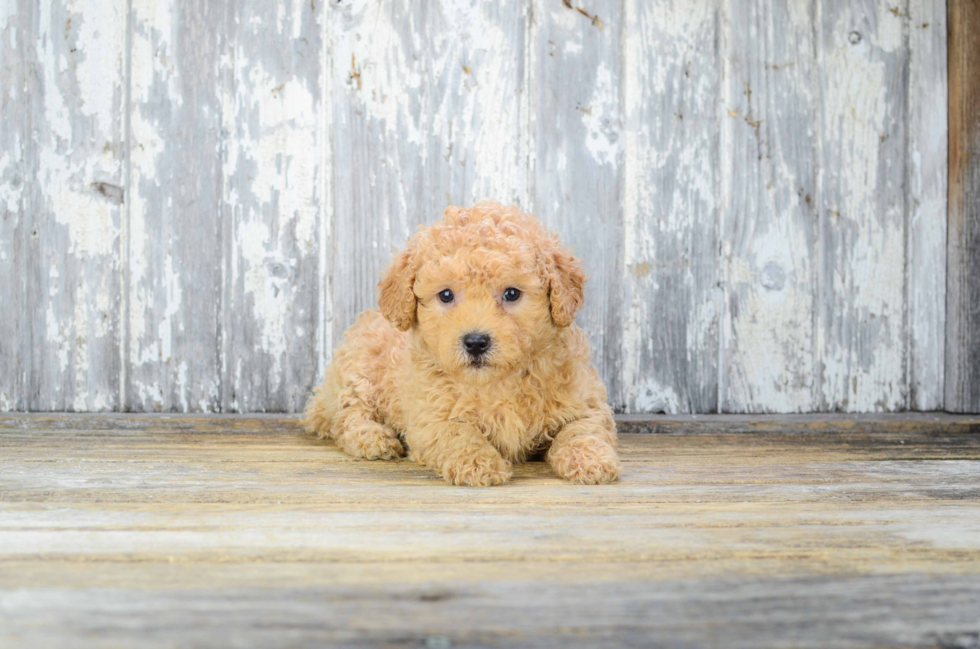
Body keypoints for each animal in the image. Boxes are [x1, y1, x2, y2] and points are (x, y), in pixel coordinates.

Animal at [300, 202, 620, 486]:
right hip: (358, 373)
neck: (496, 382)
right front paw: (479, 464)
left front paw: (592, 460)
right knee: (347, 416)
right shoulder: (430, 416)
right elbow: (458, 434)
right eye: (446, 295)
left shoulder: (586, 401)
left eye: (512, 293)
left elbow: (582, 429)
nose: (476, 342)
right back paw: (373, 439)